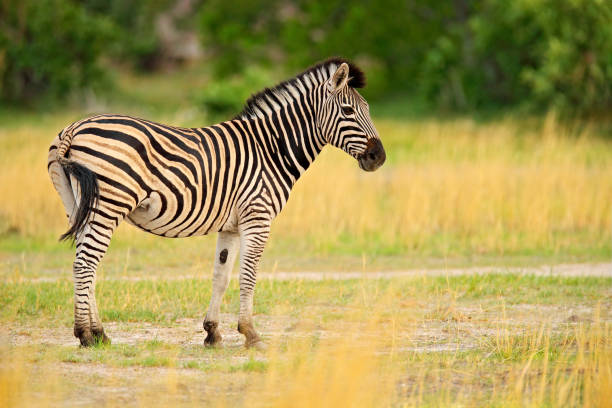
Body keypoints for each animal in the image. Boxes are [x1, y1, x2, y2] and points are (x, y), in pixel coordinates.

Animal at [47, 57, 384, 350]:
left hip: (78, 205)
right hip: (109, 205)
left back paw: (99, 334)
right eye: (348, 111)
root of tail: (73, 128)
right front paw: (250, 334)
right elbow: (248, 275)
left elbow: (220, 276)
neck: (271, 149)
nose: (378, 157)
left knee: (85, 263)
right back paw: (85, 335)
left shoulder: (231, 225)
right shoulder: (257, 217)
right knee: (86, 263)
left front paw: (212, 333)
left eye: (367, 109)